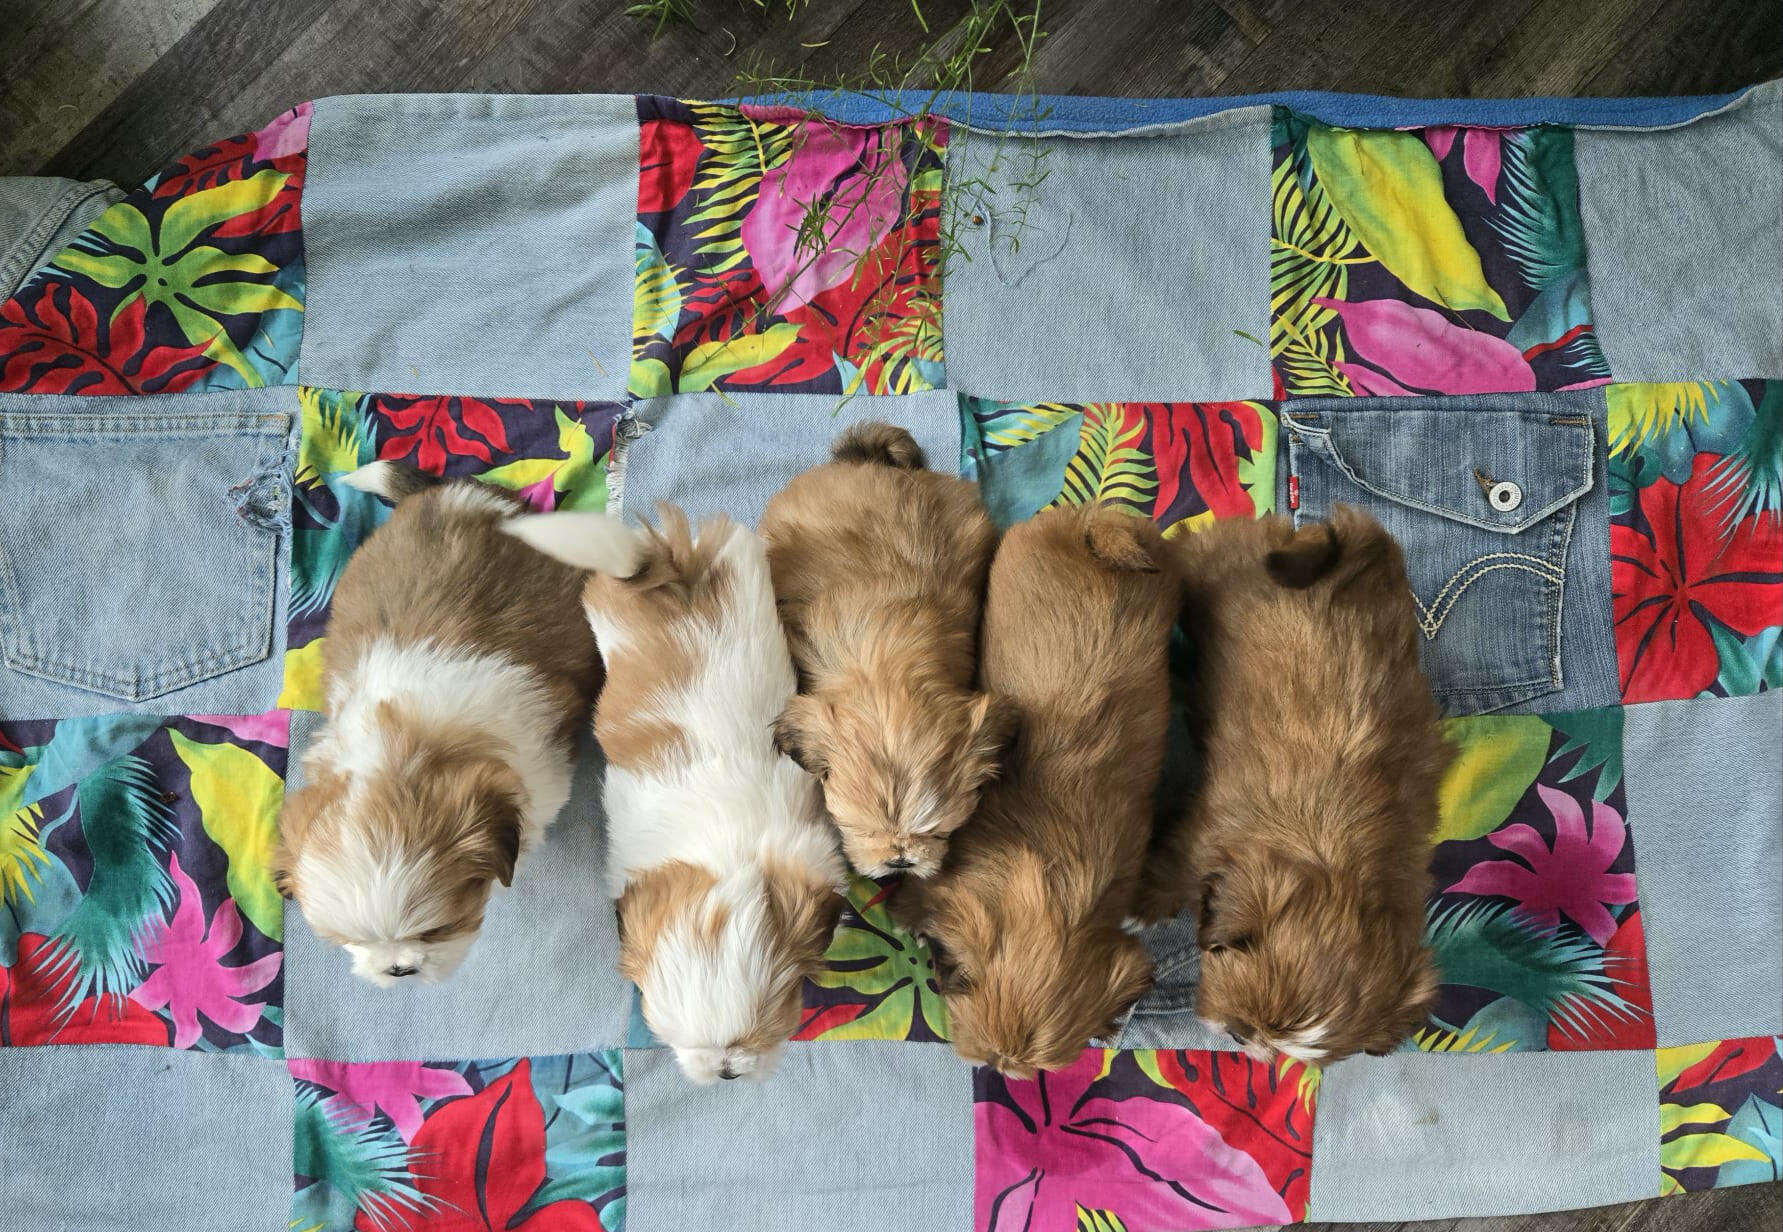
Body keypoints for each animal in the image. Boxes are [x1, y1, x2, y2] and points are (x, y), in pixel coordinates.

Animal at [1144, 504, 1450, 1064]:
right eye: (1235, 950)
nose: (1241, 1035)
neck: (1334, 868)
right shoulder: (1197, 838)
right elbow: (1166, 875)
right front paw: (1141, 909)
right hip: (1222, 563)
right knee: (1194, 554)